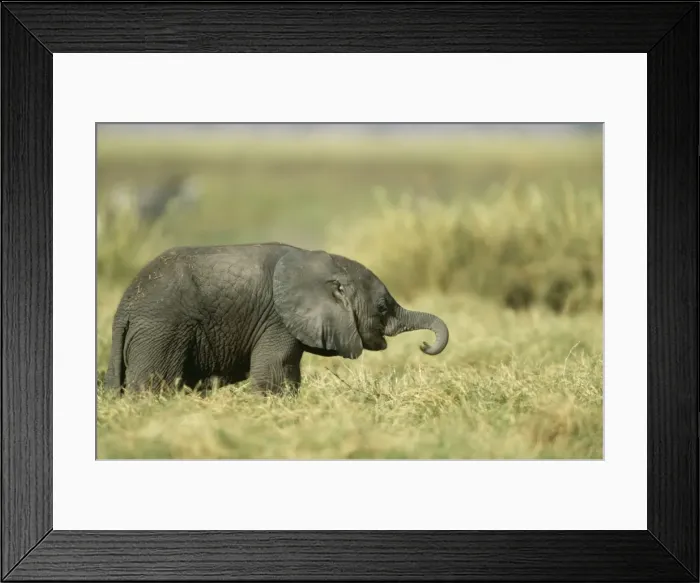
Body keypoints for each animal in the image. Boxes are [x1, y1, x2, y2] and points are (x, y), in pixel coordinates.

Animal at [104, 243, 449, 394]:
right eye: (382, 307)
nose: (423, 345)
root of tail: (124, 308)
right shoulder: (277, 319)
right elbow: (274, 372)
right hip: (162, 330)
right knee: (155, 384)